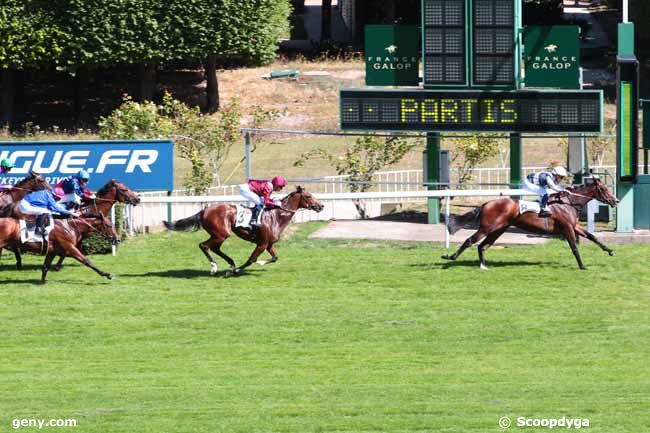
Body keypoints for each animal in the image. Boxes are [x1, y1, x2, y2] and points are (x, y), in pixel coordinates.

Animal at [163, 185, 322, 274]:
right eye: (308, 196)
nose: (321, 206)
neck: (276, 215)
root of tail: (204, 210)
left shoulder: (269, 244)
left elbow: (275, 257)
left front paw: (259, 263)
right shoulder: (262, 244)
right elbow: (251, 259)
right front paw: (236, 270)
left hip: (220, 235)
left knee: (214, 248)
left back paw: (231, 263)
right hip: (221, 234)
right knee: (204, 245)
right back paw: (215, 267)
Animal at [440, 177, 616, 268]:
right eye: (604, 189)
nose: (616, 200)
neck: (568, 202)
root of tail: (486, 203)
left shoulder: (574, 226)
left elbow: (593, 237)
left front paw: (610, 251)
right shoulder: (567, 228)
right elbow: (574, 247)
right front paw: (582, 265)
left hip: (498, 230)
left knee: (482, 246)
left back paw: (483, 265)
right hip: (487, 228)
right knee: (469, 241)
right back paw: (450, 257)